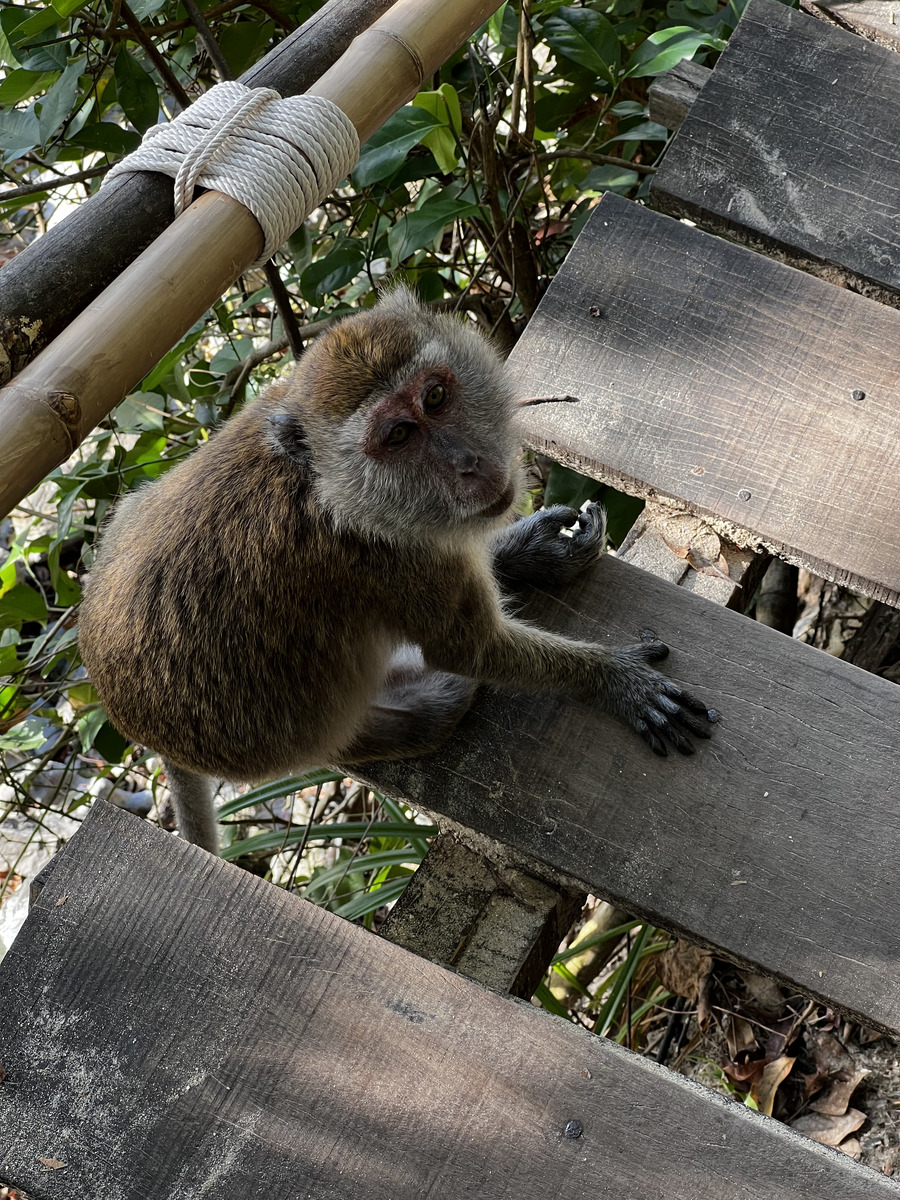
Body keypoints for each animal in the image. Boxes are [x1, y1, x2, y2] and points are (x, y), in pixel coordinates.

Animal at [81, 288, 724, 854]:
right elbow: (469, 648)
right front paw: (612, 679)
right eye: (397, 435)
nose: (469, 464)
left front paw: (530, 550)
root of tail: (129, 718)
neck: (328, 487)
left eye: (435, 397)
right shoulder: (390, 560)